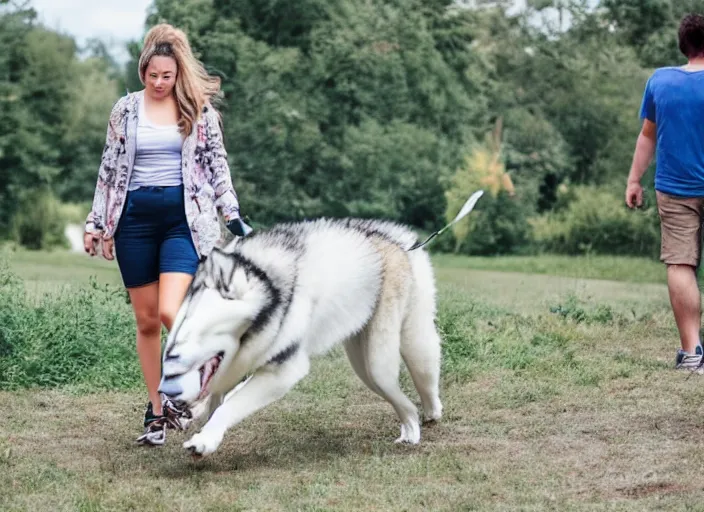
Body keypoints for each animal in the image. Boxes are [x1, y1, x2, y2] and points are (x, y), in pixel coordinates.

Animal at [160, 216, 446, 456]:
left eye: (189, 338)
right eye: (171, 341)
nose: (164, 391)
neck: (269, 287)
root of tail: (395, 241)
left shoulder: (284, 371)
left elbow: (227, 406)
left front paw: (203, 441)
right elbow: (220, 399)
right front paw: (201, 422)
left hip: (380, 361)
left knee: (411, 394)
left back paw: (421, 422)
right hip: (361, 358)